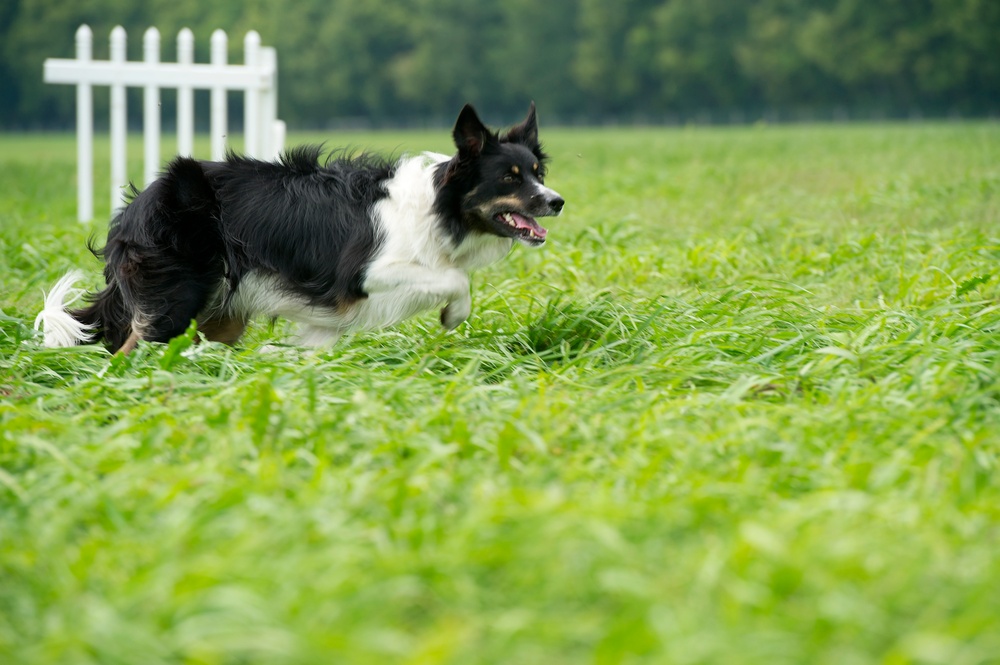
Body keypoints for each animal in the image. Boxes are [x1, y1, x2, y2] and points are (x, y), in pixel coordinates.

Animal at [37, 102, 564, 352]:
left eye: (537, 172)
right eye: (509, 177)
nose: (557, 202)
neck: (440, 205)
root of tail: (133, 210)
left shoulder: (326, 316)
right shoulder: (365, 272)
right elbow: (454, 278)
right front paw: (454, 314)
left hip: (220, 314)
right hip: (179, 299)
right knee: (127, 352)